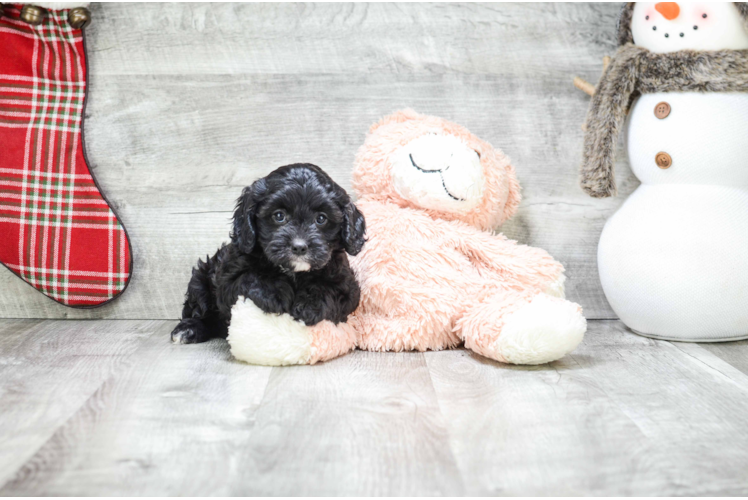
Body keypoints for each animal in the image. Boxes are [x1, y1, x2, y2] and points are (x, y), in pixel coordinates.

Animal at [170, 164, 368, 344]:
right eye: (279, 215)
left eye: (321, 218)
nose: (299, 247)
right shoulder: (227, 280)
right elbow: (249, 276)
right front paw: (274, 293)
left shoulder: (347, 285)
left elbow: (330, 289)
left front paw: (310, 305)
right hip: (201, 279)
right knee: (201, 309)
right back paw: (189, 329)